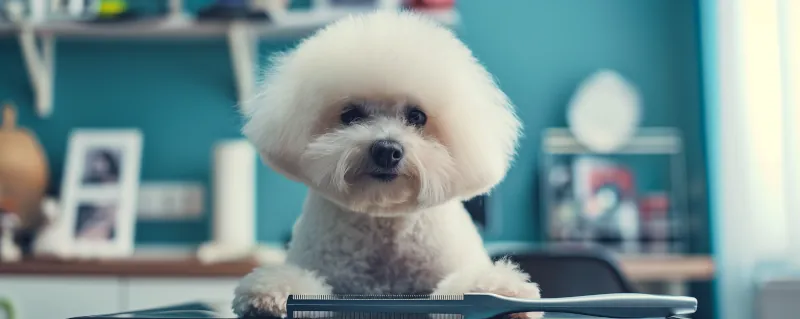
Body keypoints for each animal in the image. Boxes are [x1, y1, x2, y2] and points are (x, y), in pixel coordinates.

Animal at [234, 10, 540, 319]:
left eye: (417, 116)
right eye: (350, 115)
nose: (386, 150)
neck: (384, 220)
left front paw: (503, 293)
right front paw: (268, 294)